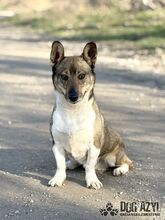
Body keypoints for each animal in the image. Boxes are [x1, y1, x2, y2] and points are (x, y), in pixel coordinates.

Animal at [48, 40, 133, 189]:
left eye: (81, 76)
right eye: (64, 77)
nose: (73, 97)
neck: (73, 111)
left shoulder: (94, 146)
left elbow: (89, 166)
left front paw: (92, 180)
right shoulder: (56, 145)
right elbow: (60, 165)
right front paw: (58, 178)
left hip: (113, 157)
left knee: (127, 163)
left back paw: (120, 170)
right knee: (74, 162)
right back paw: (70, 163)